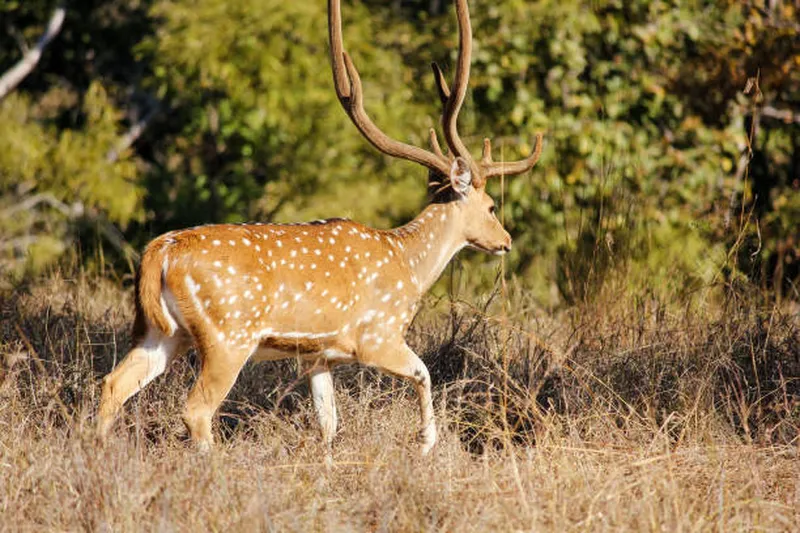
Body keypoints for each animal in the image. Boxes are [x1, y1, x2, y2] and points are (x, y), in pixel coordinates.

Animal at [97, 0, 540, 454]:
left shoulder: (318, 355)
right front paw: (425, 444)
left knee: (113, 384)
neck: (410, 266)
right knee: (195, 409)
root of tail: (160, 252)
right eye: (491, 206)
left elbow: (328, 424)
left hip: (160, 331)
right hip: (228, 336)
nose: (506, 241)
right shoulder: (377, 335)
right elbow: (424, 373)